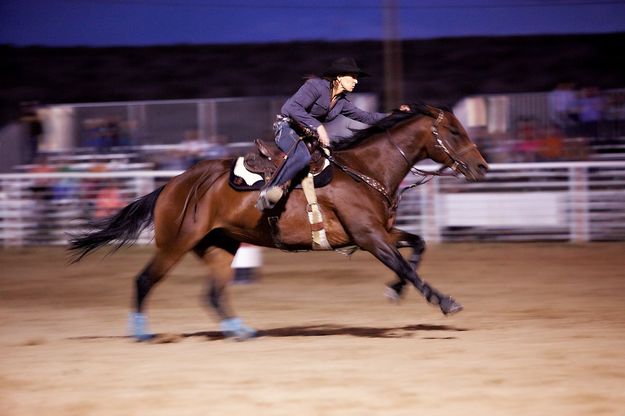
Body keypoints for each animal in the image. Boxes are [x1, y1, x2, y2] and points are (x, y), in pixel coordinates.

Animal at [68, 102, 488, 340]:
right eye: (453, 130)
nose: (483, 166)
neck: (364, 171)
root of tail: (173, 184)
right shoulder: (369, 236)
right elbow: (406, 265)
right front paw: (445, 301)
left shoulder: (381, 232)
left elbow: (417, 246)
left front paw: (396, 291)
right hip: (175, 243)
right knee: (144, 280)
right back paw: (141, 332)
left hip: (220, 244)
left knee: (214, 293)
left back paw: (240, 330)